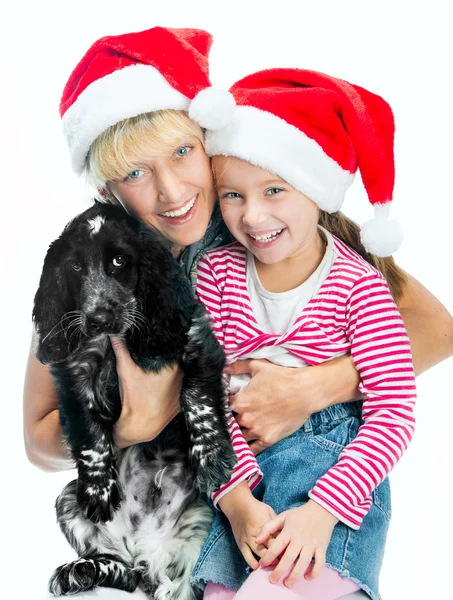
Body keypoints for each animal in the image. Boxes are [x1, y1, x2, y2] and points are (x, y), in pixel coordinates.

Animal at [32, 204, 237, 596]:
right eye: (75, 267)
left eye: (119, 261)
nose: (98, 318)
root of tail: (148, 551)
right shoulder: (74, 373)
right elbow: (90, 436)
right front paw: (98, 490)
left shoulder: (195, 339)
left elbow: (198, 397)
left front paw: (212, 459)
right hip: (67, 500)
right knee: (122, 570)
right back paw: (81, 571)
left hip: (200, 525)